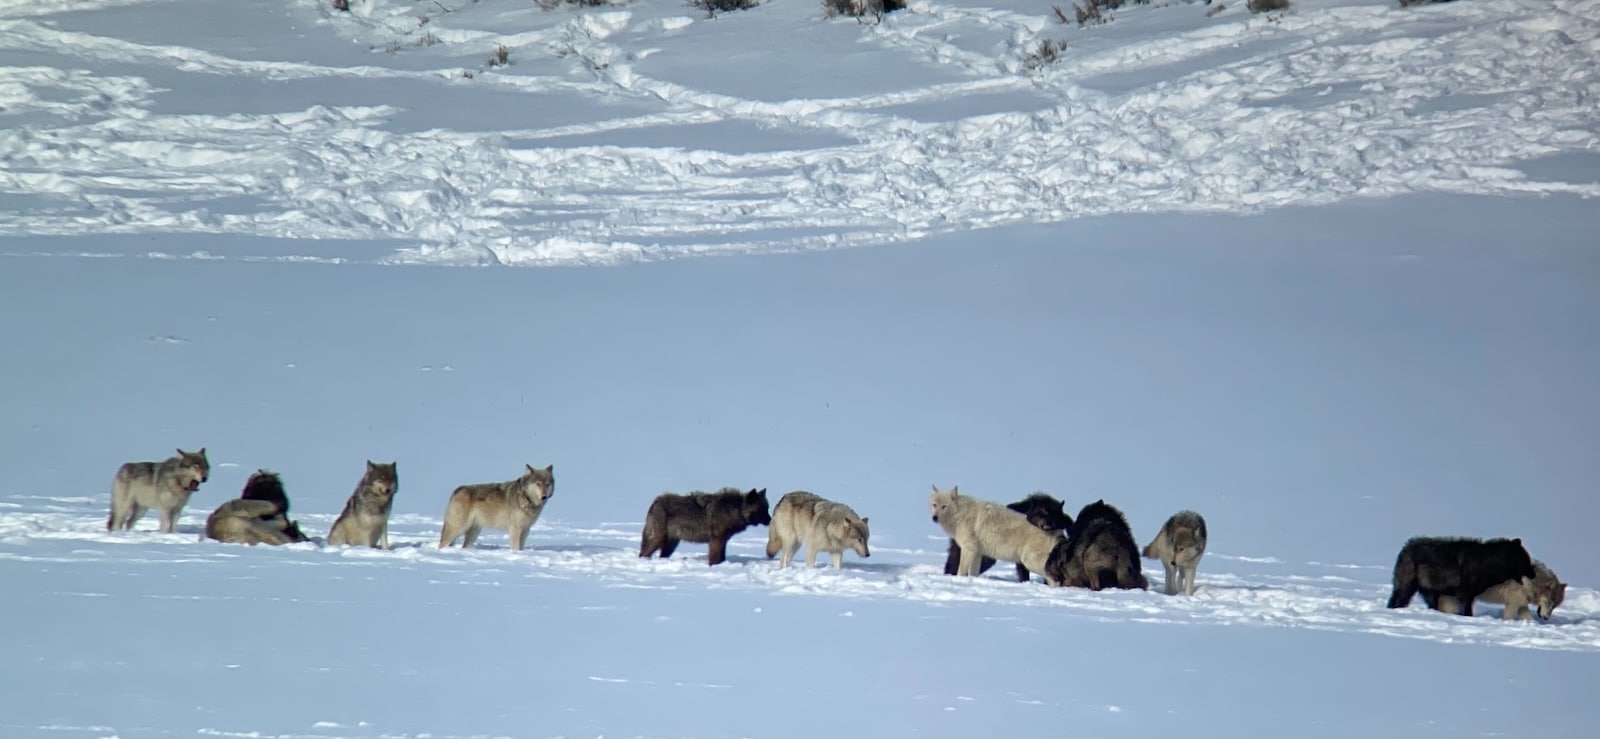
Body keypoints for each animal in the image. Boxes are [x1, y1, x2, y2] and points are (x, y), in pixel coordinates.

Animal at [639, 487, 771, 566]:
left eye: (767, 508)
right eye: (761, 509)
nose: (770, 520)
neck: (735, 510)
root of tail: (655, 502)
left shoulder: (723, 540)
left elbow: (722, 558)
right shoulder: (716, 540)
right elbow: (715, 558)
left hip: (670, 544)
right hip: (659, 539)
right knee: (643, 554)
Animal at [929, 485, 1061, 583]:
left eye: (944, 506)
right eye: (934, 505)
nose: (934, 518)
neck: (961, 514)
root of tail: (1056, 532)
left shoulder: (968, 549)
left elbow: (961, 571)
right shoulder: (977, 553)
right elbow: (973, 573)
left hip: (1030, 562)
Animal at [1385, 536, 1536, 617]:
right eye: (1526, 560)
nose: (1534, 574)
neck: (1487, 562)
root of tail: (1405, 549)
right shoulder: (1465, 595)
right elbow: (1467, 612)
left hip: (1430, 594)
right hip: (1407, 588)